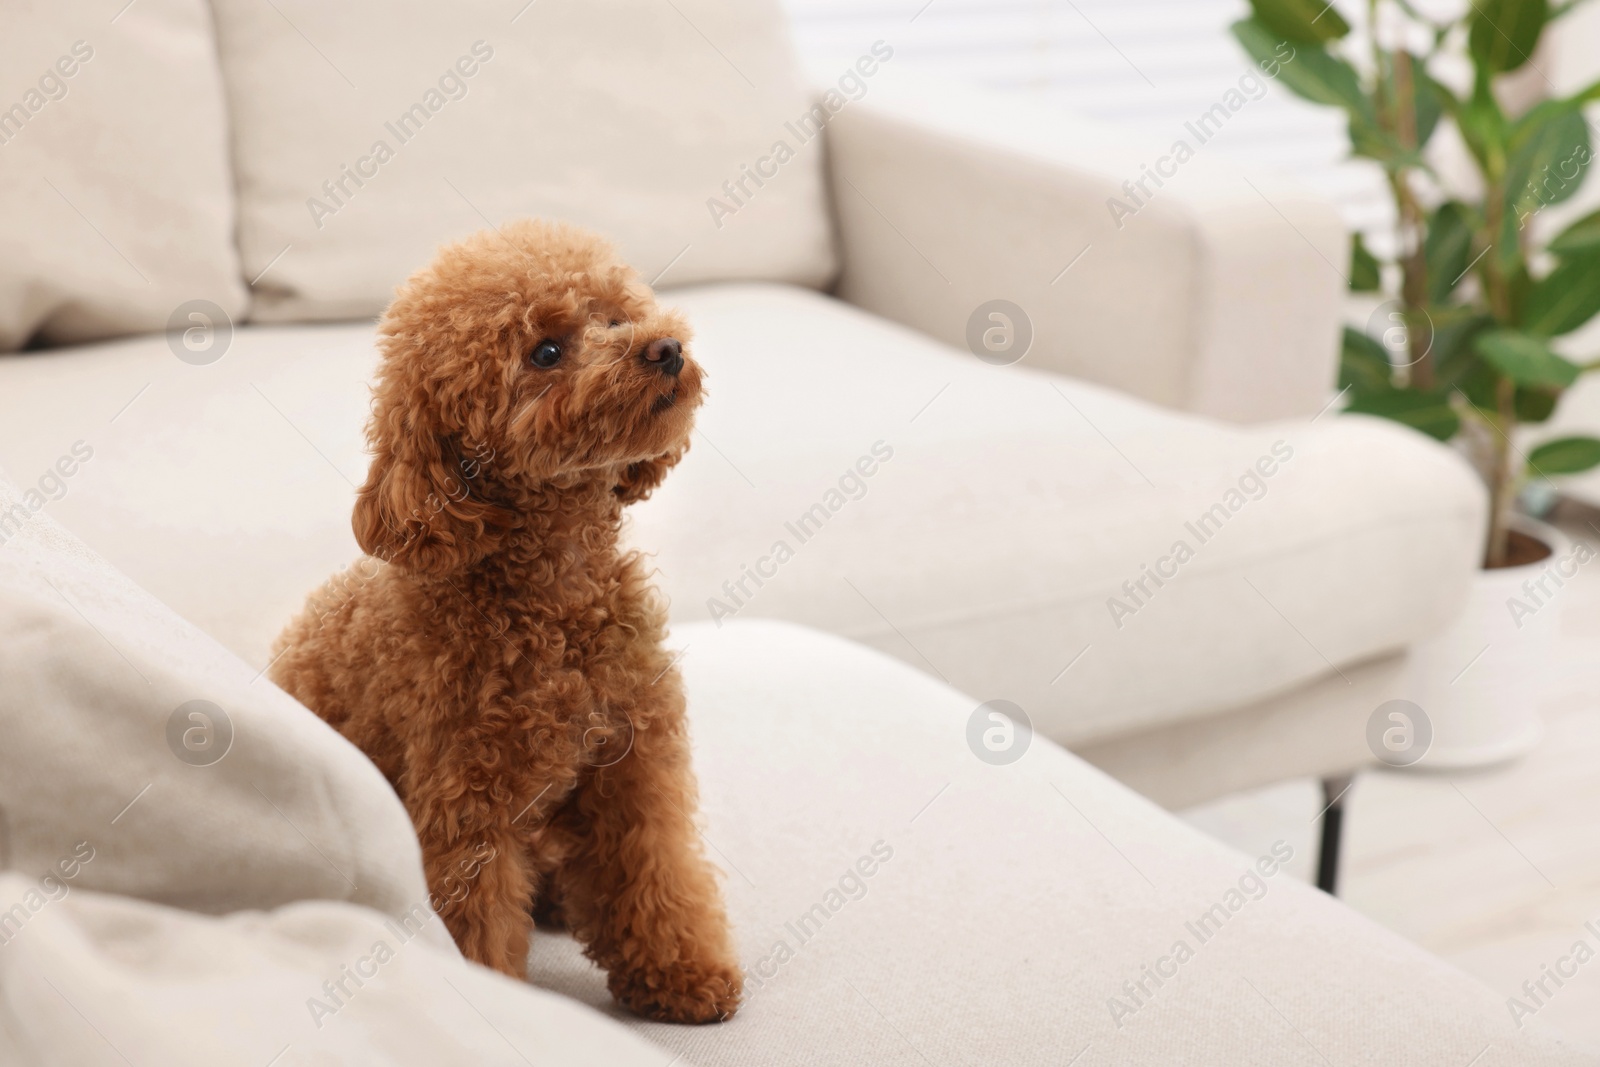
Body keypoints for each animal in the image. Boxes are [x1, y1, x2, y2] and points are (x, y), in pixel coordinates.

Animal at [273, 219, 742, 1023]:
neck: (554, 600)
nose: (664, 348)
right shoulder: (468, 805)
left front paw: (684, 973)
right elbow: (476, 926)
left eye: (614, 316)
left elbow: (655, 869)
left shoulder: (632, 762)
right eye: (545, 352)